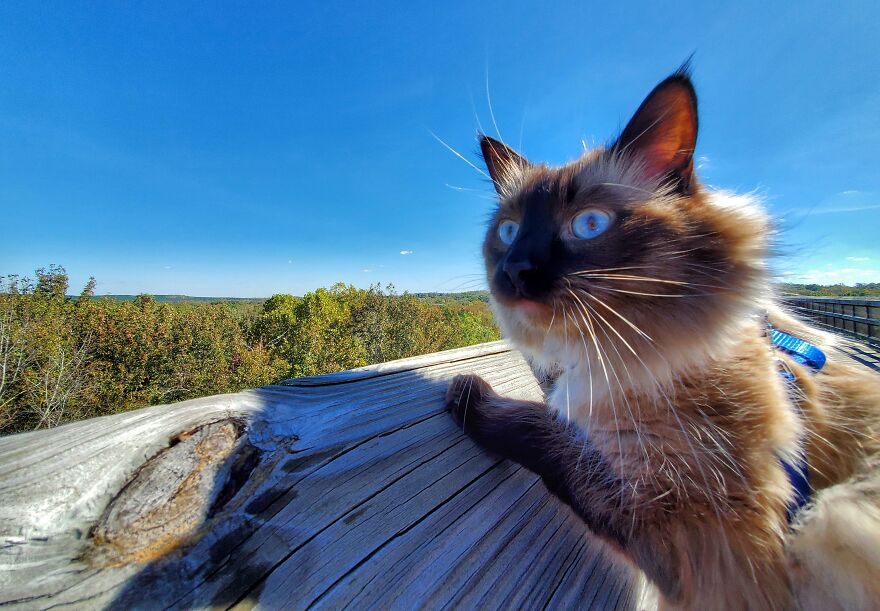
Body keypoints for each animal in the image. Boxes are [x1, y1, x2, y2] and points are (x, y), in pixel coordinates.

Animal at [446, 67, 880, 611]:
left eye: (589, 224)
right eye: (508, 231)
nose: (515, 271)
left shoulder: (693, 527)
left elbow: (547, 435)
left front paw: (470, 396)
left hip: (834, 519)